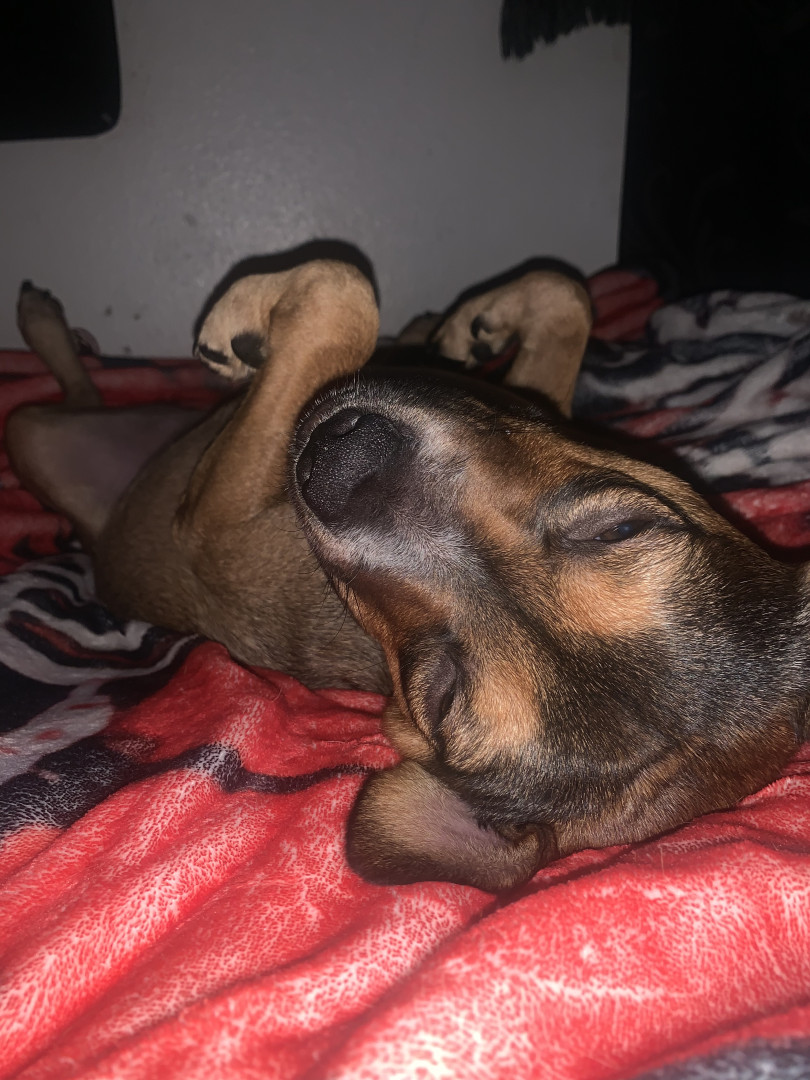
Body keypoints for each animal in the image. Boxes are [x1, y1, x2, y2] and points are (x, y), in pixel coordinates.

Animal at [7, 260, 809, 892]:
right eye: (619, 528)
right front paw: (474, 322)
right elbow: (564, 302)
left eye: (440, 696)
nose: (341, 465)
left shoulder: (209, 520)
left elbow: (340, 297)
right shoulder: (529, 405)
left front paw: (240, 323)